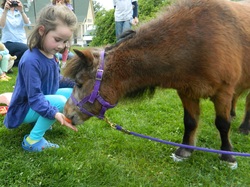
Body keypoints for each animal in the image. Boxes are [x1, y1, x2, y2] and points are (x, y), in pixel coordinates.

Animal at [63, 0, 250, 167]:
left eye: (79, 83)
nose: (66, 113)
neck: (196, 40)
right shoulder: (187, 92)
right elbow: (190, 121)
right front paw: (184, 150)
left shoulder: (223, 92)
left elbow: (222, 124)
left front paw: (228, 156)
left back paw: (244, 127)